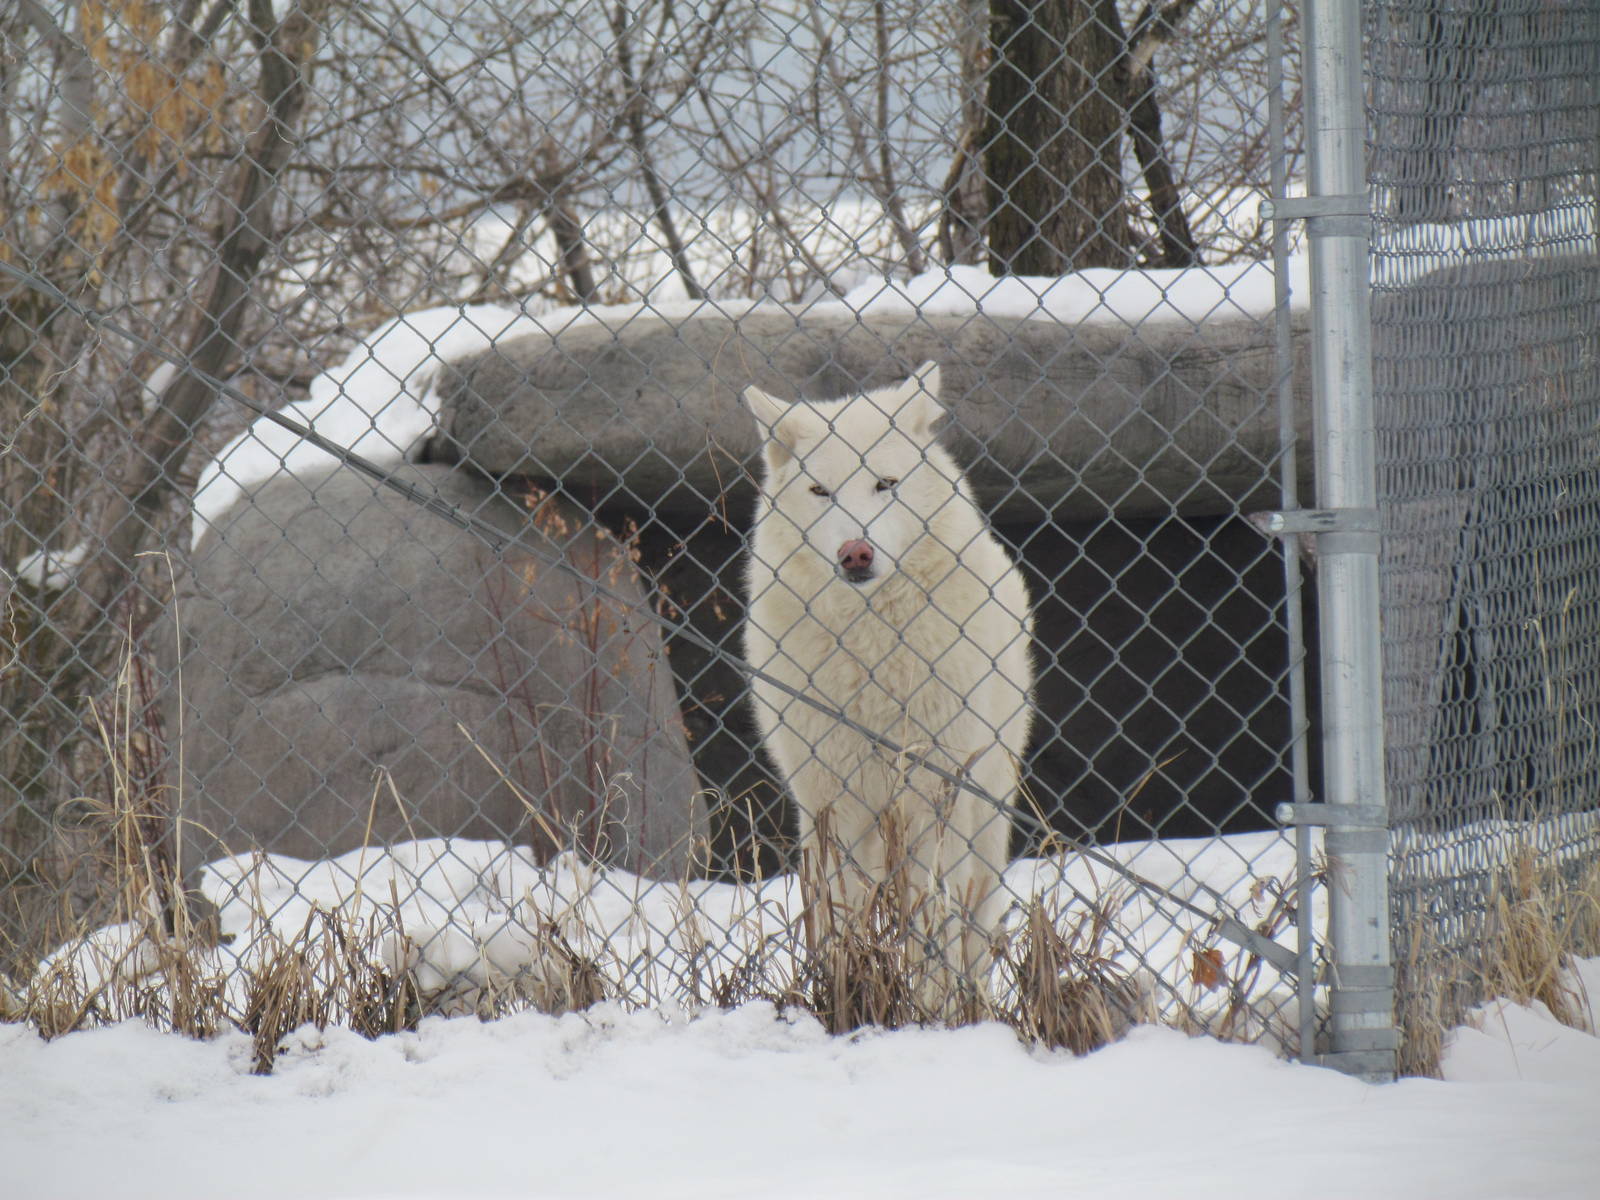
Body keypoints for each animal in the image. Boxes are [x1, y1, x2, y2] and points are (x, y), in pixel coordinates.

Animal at [742, 362, 1035, 1007]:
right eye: (820, 492)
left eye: (885, 484)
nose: (855, 552)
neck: (872, 650)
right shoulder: (835, 803)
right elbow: (843, 920)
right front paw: (848, 993)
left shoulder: (933, 798)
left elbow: (931, 930)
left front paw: (931, 1008)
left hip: (984, 816)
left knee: (975, 930)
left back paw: (973, 1004)